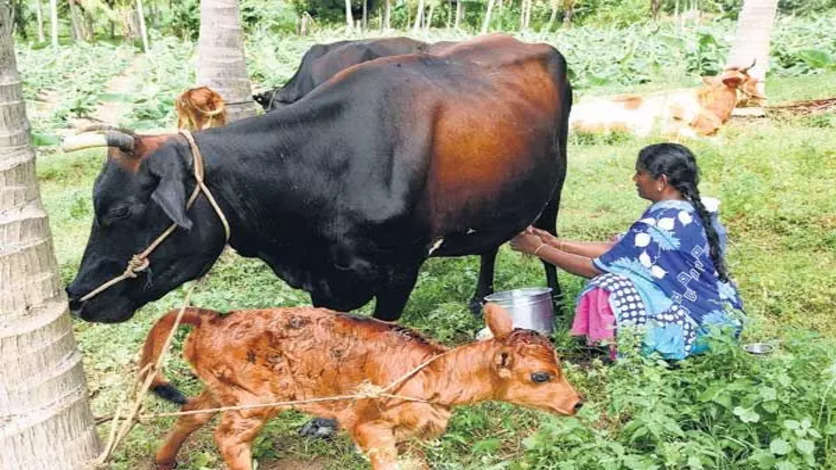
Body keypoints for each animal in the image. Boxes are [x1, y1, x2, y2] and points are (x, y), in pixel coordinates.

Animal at [140, 302, 580, 468]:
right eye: (540, 376)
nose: (576, 403)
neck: (432, 374)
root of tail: (212, 316)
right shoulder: (369, 425)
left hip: (222, 388)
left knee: (191, 411)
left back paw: (164, 459)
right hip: (253, 401)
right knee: (230, 439)